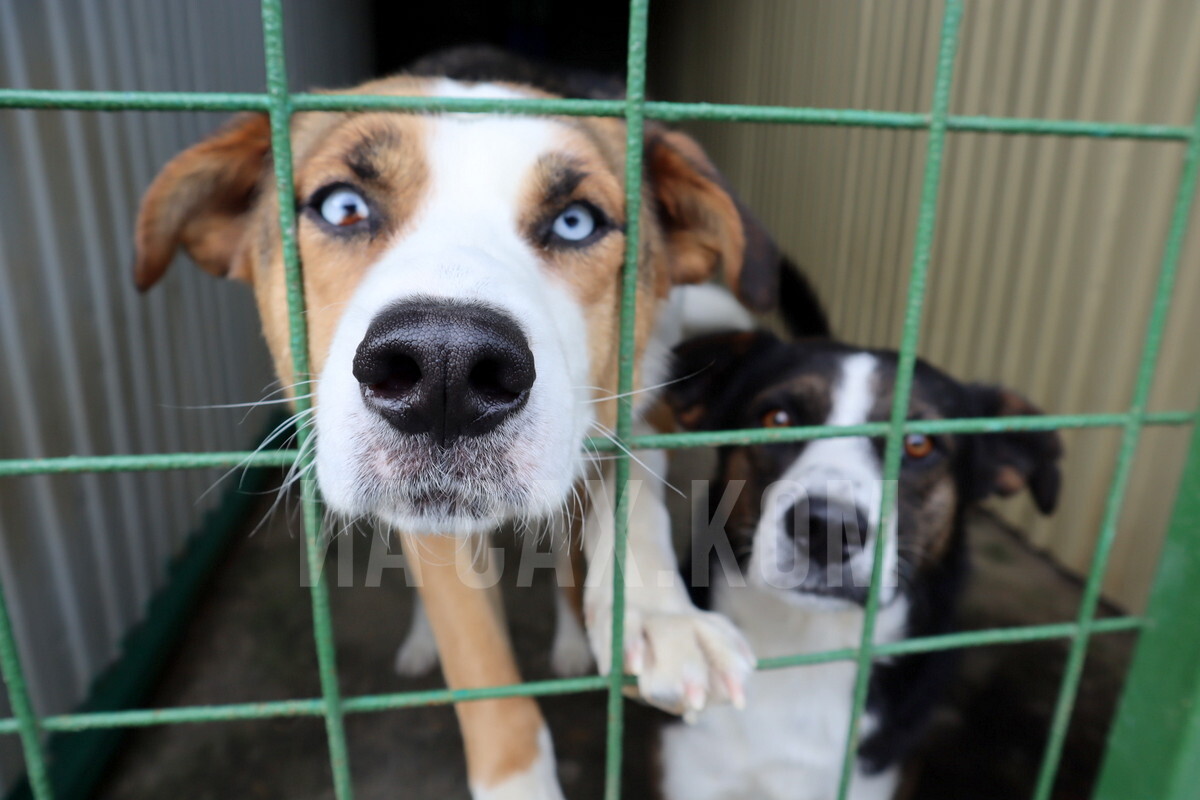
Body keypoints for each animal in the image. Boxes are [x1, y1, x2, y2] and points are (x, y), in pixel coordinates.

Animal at [133, 50, 768, 800]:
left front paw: (662, 620)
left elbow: (632, 489)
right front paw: (519, 779)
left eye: (576, 222)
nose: (446, 370)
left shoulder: (650, 397)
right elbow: (483, 669)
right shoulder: (435, 526)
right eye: (343, 207)